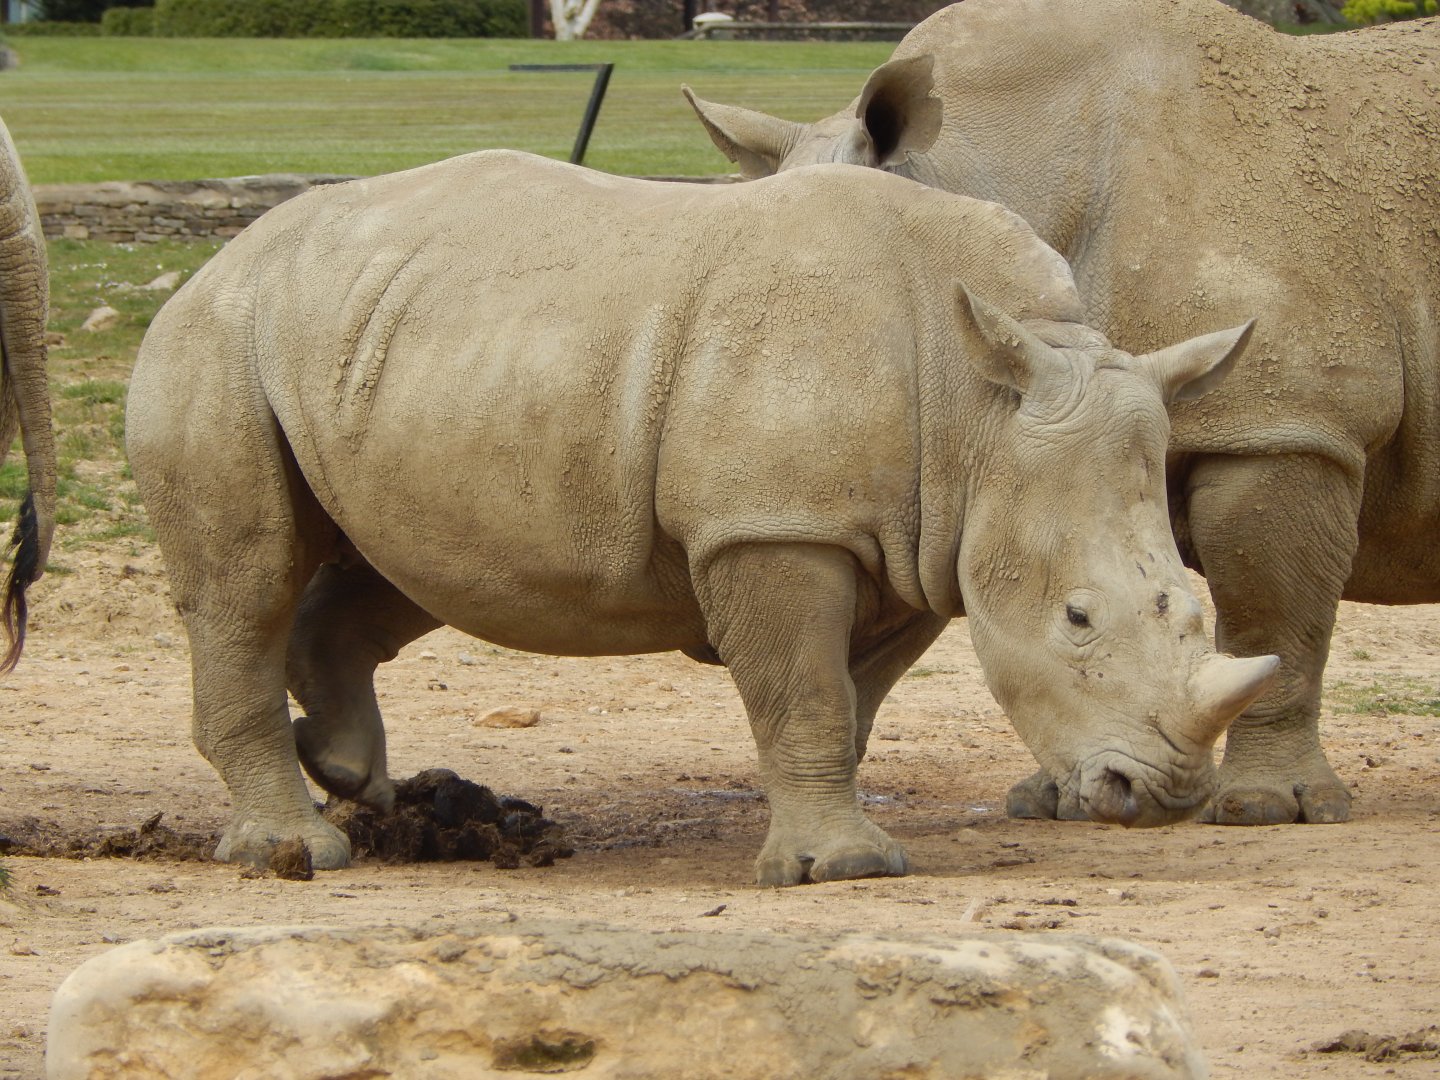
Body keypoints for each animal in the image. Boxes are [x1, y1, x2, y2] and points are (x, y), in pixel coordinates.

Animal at [127, 150, 1276, 885]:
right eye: (1077, 619)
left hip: (396, 343)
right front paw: (844, 869)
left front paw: (815, 837)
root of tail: (221, 257)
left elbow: (845, 702)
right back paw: (296, 852)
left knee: (399, 563)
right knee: (248, 582)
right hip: (219, 339)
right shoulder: (773, 526)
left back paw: (351, 775)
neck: (977, 412)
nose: (1165, 794)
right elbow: (804, 693)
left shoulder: (919, 543)